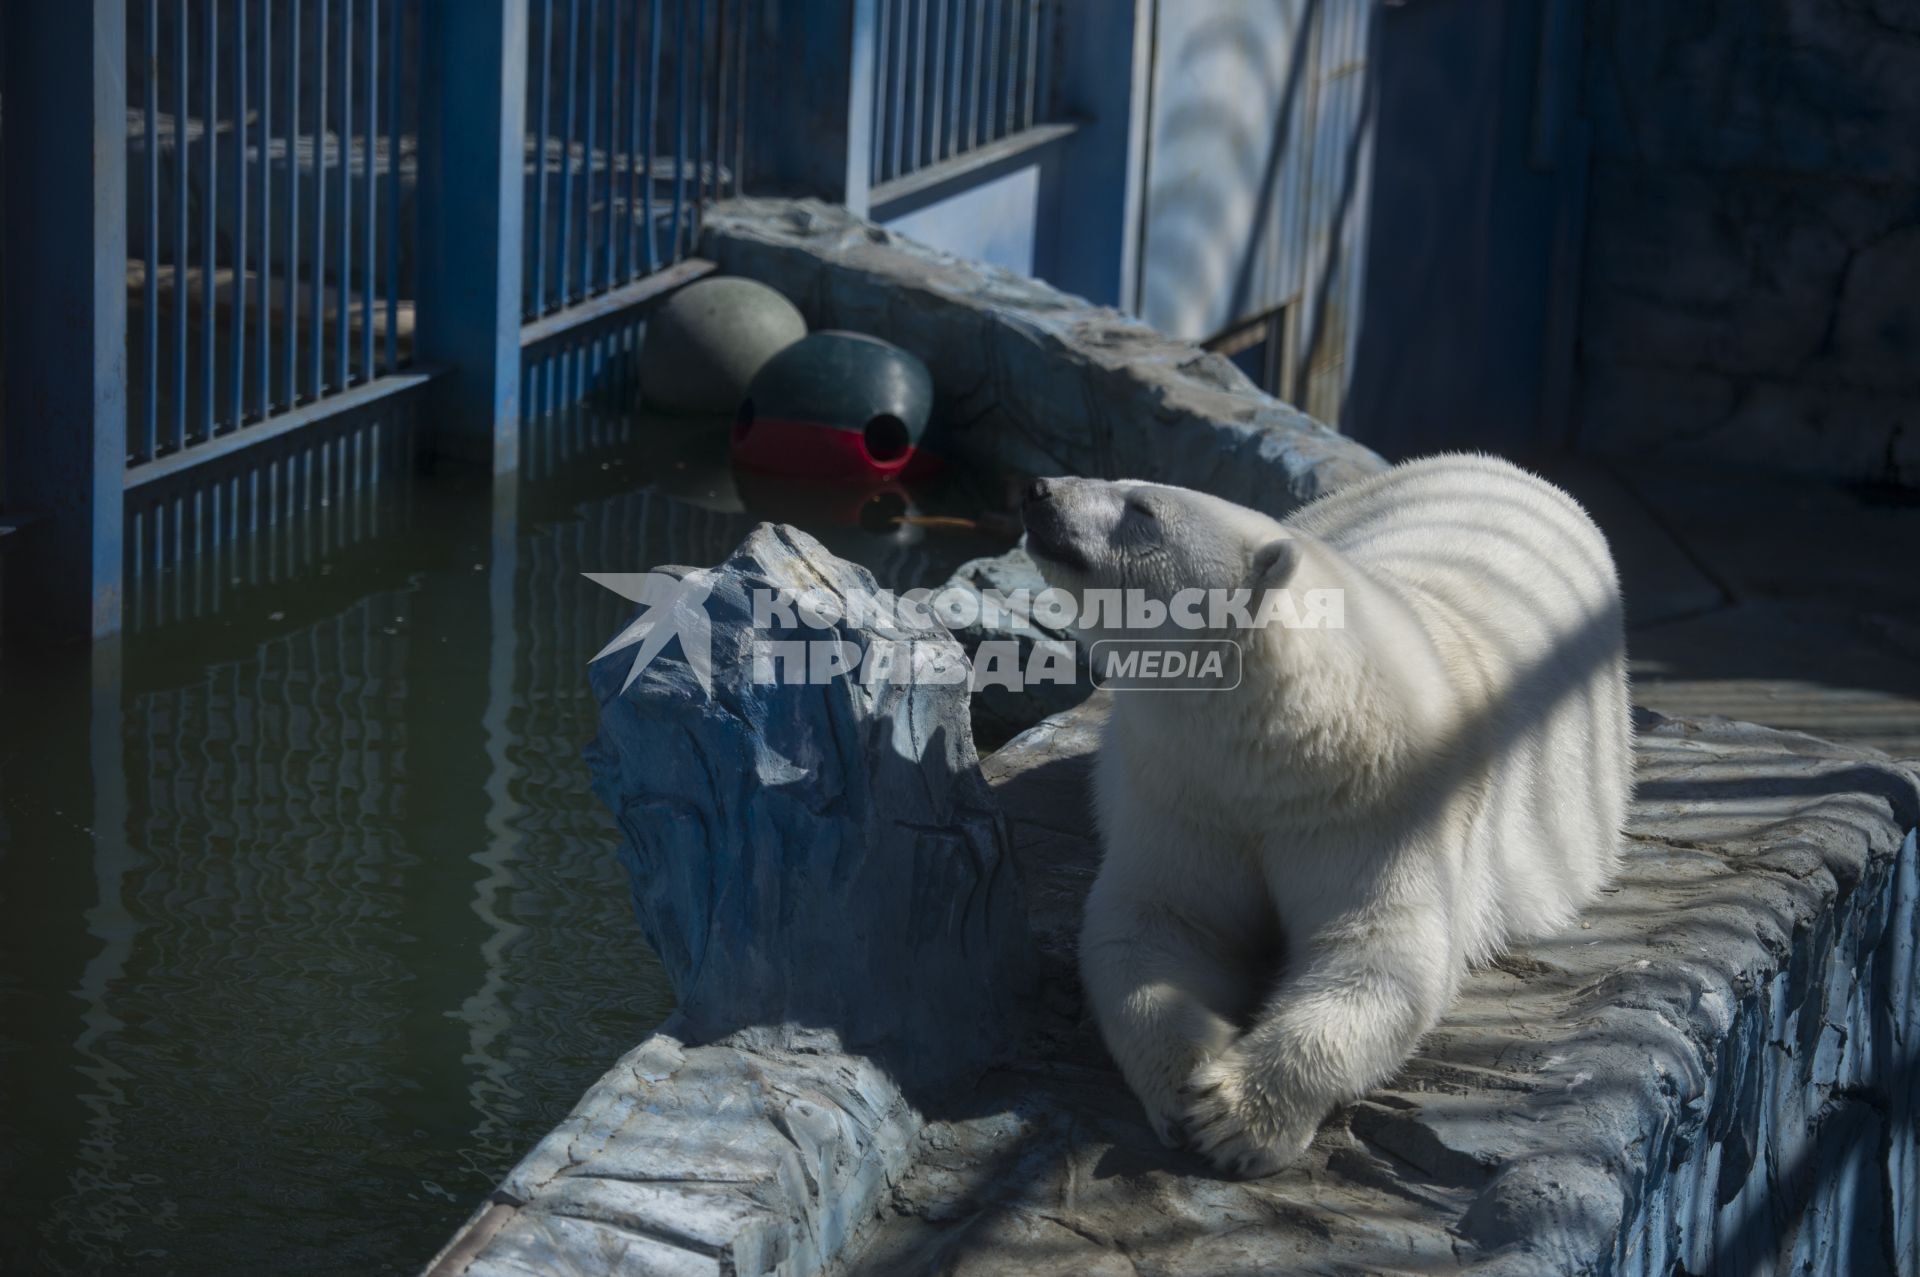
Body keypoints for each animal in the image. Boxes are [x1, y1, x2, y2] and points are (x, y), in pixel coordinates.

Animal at [1029, 455, 1628, 1175]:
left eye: (1142, 508)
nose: (1040, 491)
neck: (1289, 734)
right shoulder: (1184, 790)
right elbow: (1158, 921)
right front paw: (1185, 1080)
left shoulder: (1382, 801)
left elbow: (1383, 949)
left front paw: (1239, 1118)